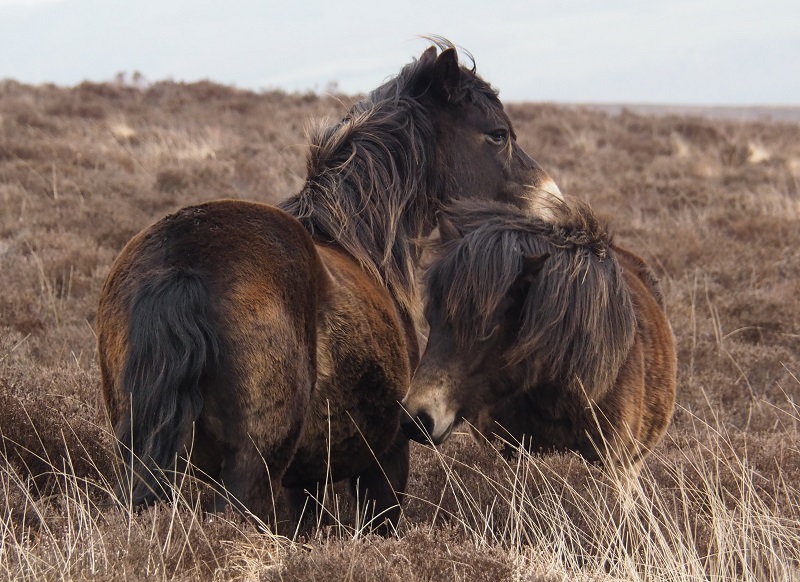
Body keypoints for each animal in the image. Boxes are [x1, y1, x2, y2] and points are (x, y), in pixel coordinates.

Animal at [96, 40, 561, 532]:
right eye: (497, 134)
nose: (554, 204)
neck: (357, 242)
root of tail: (181, 264)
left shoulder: (305, 480)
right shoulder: (387, 460)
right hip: (251, 472)